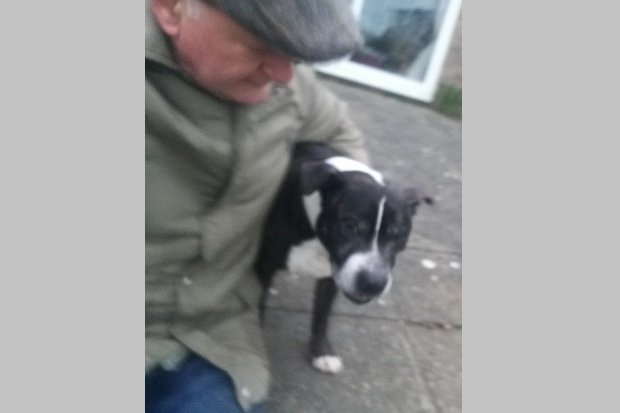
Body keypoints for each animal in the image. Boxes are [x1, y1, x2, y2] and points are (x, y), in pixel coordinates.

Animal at [256, 142, 432, 374]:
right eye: (349, 226)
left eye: (398, 236)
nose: (373, 282)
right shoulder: (263, 267)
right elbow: (257, 308)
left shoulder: (331, 277)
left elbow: (322, 314)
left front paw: (321, 352)